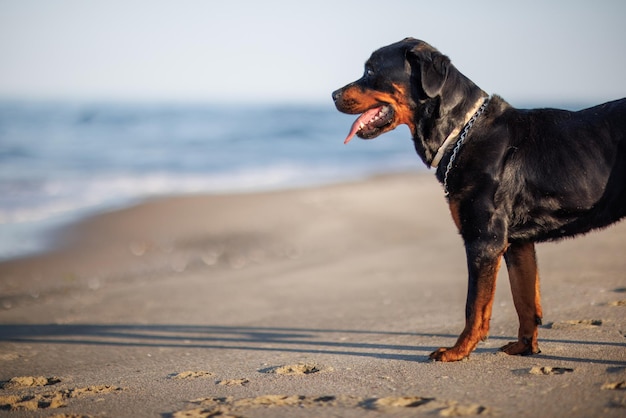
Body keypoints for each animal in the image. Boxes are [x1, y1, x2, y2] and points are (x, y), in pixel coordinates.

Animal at [332, 37, 624, 360]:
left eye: (370, 70)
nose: (333, 95)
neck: (460, 132)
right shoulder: (517, 244)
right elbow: (524, 300)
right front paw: (525, 346)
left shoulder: (484, 240)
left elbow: (475, 306)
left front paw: (458, 350)